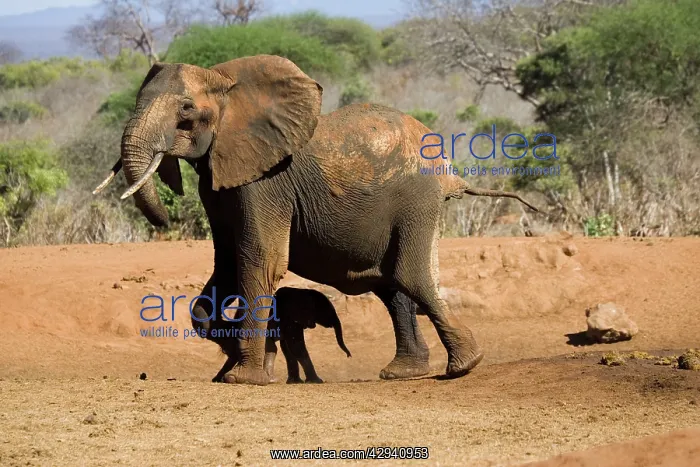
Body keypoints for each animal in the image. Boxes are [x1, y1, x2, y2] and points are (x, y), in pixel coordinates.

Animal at [211, 286, 351, 384]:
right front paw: (316, 381)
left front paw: (296, 382)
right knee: (269, 347)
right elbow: (296, 346)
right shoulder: (290, 318)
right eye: (326, 311)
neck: (302, 292)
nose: (349, 356)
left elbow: (287, 348)